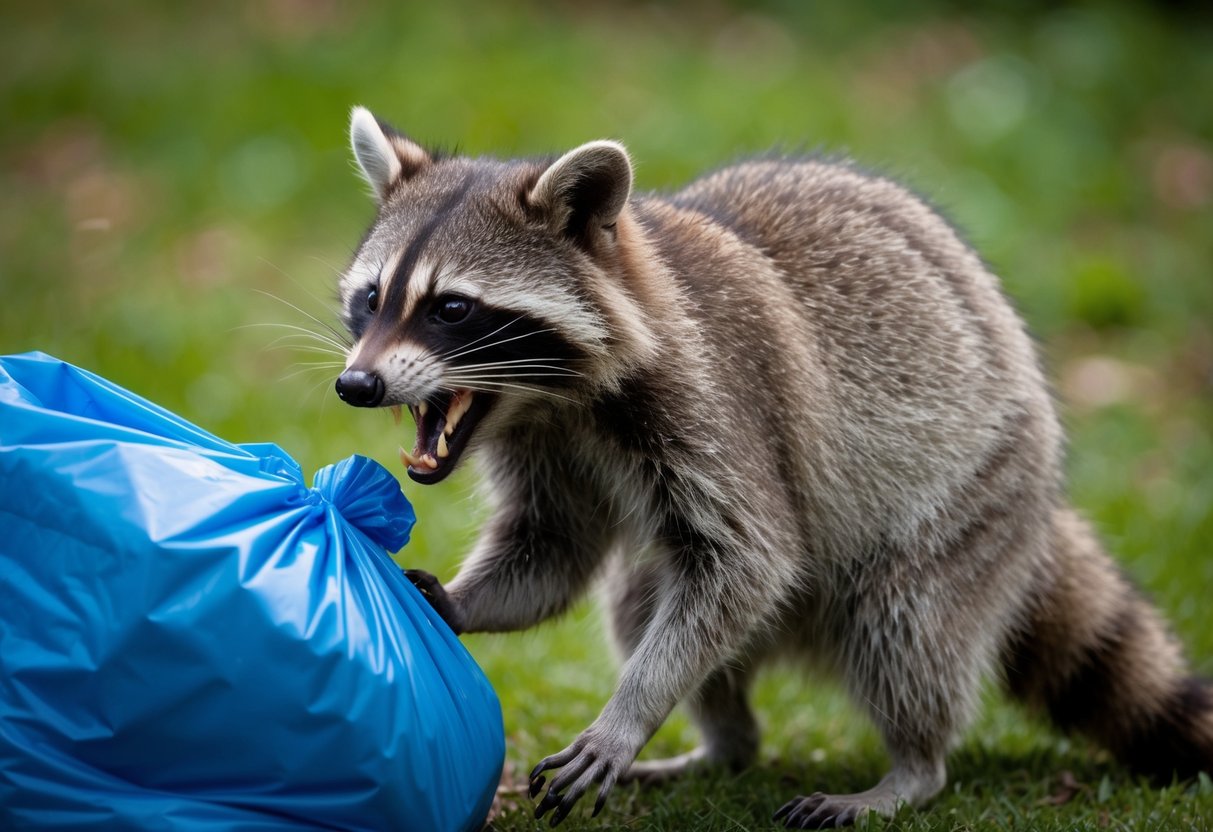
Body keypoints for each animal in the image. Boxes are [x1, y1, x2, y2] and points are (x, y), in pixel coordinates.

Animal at [333, 106, 1213, 828]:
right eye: (371, 299)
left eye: (451, 308)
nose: (355, 385)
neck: (549, 399)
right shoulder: (543, 447)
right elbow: (554, 550)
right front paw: (457, 600)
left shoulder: (715, 402)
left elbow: (750, 559)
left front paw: (629, 710)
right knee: (642, 599)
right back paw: (727, 741)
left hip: (975, 493)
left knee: (903, 623)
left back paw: (912, 765)